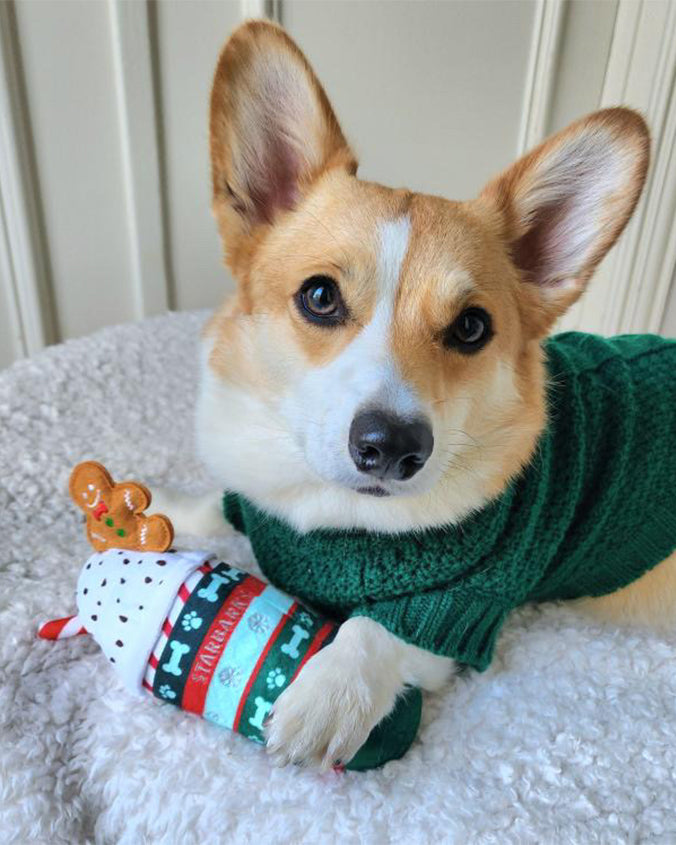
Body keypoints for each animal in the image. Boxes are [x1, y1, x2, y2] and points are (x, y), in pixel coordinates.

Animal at [153, 21, 676, 772]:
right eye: (319, 296)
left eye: (471, 327)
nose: (393, 448)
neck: (328, 510)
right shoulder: (252, 495)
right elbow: (212, 505)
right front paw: (157, 502)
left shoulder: (458, 613)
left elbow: (374, 632)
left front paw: (325, 696)